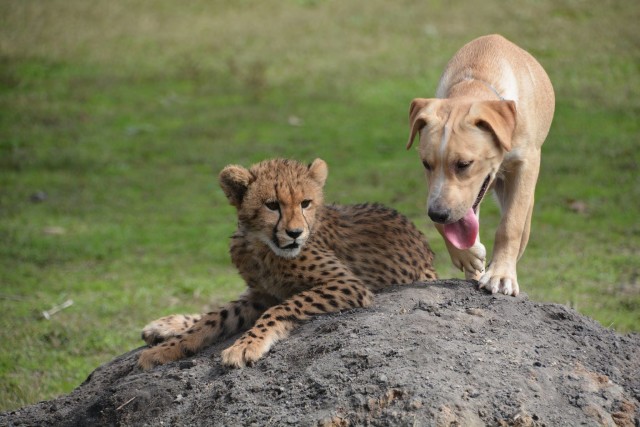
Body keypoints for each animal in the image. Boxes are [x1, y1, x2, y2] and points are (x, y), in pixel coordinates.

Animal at [408, 34, 552, 298]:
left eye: (464, 164)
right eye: (426, 163)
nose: (438, 212)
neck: (475, 81)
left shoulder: (526, 163)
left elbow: (510, 224)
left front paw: (501, 275)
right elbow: (443, 220)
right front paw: (468, 255)